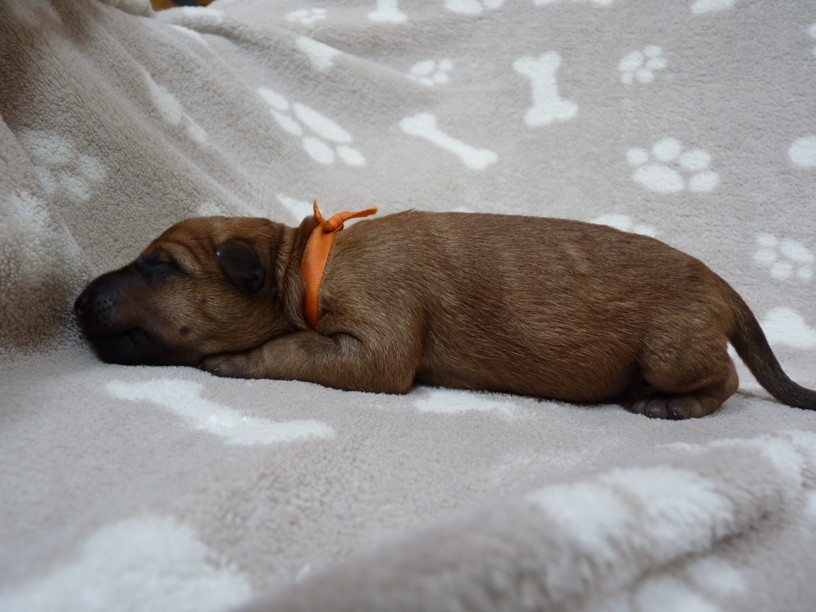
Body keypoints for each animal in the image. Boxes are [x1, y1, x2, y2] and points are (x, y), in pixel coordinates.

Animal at [74, 203, 816, 419]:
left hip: (669, 348)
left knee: (725, 379)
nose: (76, 299)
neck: (304, 265)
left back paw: (668, 405)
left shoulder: (374, 346)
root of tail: (721, 284)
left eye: (160, 266)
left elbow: (290, 349)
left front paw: (232, 360)